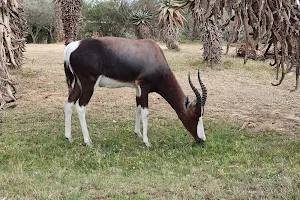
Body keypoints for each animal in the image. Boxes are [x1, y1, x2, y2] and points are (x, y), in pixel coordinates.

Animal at [63, 37, 207, 147]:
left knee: (69, 103)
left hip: (79, 84)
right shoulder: (144, 86)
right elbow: (145, 112)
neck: (154, 53)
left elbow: (137, 107)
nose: (202, 140)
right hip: (89, 84)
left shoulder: (137, 88)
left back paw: (68, 137)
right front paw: (147, 142)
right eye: (194, 116)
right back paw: (88, 142)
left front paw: (138, 134)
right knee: (80, 106)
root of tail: (72, 47)